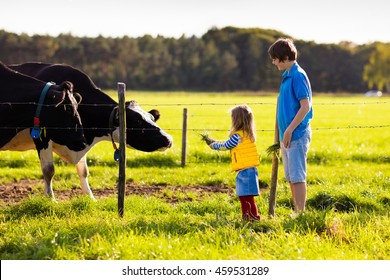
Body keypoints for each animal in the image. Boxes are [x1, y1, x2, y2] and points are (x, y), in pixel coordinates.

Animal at [9, 62, 173, 200]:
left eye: (152, 118)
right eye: (138, 121)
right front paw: (50, 199)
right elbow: (49, 170)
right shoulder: (42, 138)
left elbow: (83, 171)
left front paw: (90, 198)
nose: (169, 139)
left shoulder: (80, 140)